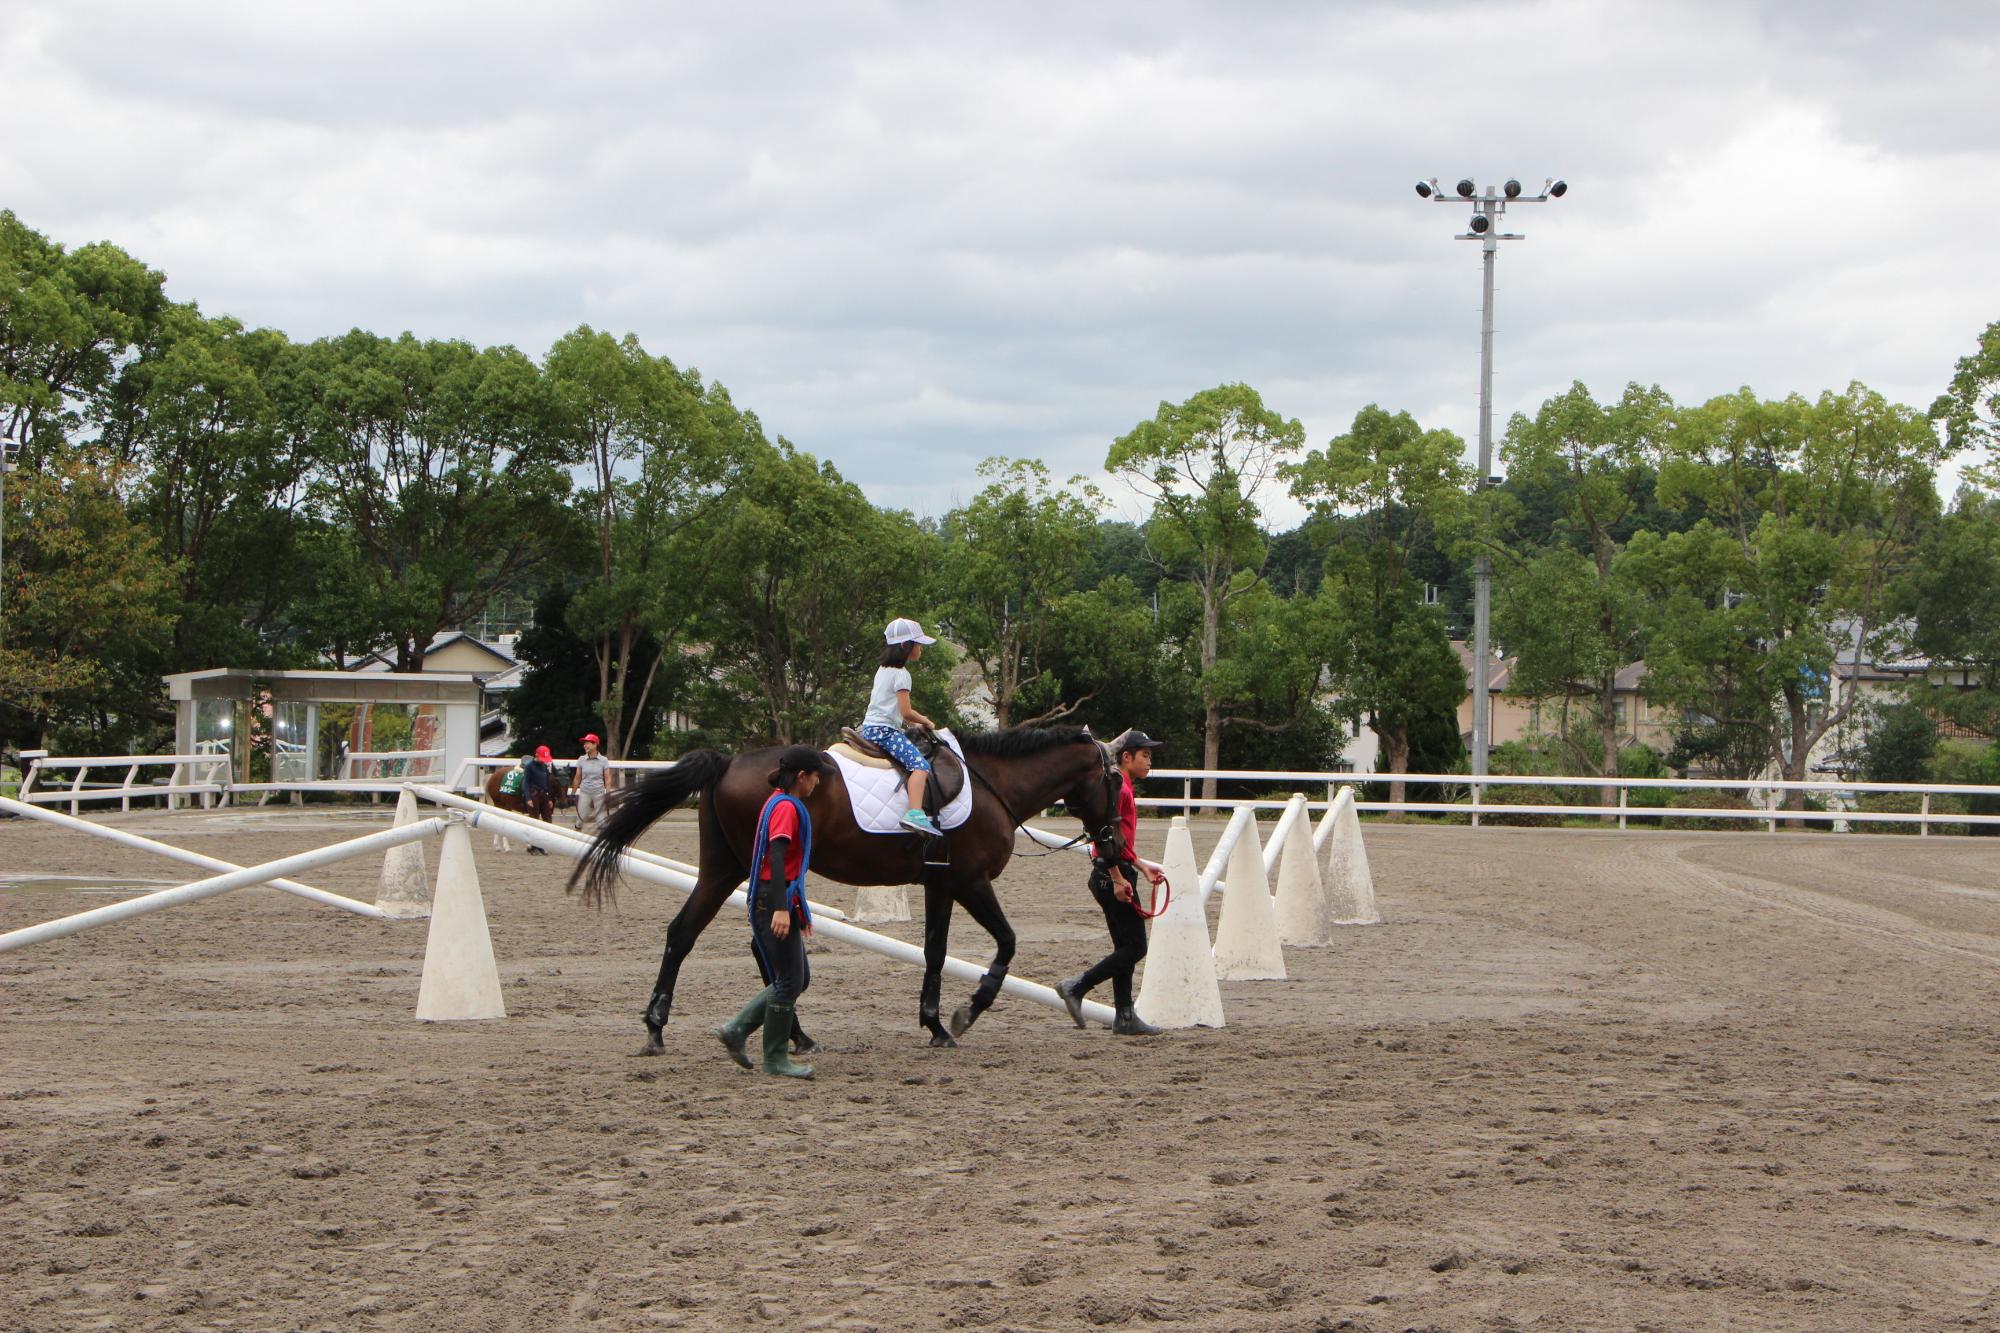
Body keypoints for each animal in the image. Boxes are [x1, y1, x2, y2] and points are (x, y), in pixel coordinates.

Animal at [576, 728, 1128, 1048]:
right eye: (1117, 783)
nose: (1116, 846)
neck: (992, 784)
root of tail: (730, 762)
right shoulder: (971, 882)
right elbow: (1008, 943)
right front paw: (967, 1012)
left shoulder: (941, 884)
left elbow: (935, 951)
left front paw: (934, 1024)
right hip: (752, 872)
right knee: (744, 944)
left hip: (723, 869)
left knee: (685, 934)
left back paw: (665, 1027)